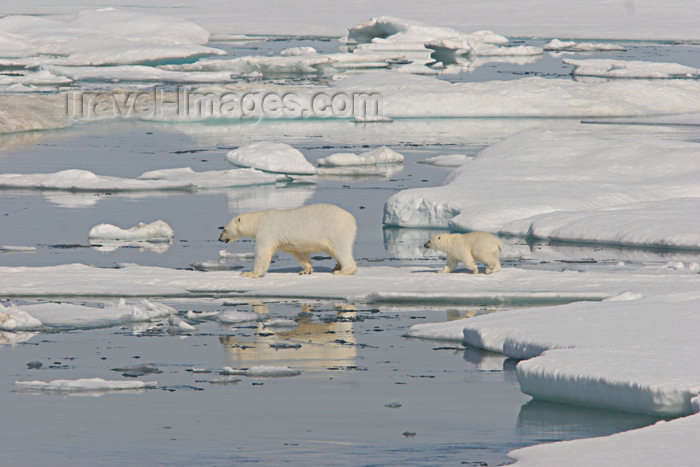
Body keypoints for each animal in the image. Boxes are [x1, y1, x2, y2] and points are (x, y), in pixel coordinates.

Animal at [219, 204, 358, 278]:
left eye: (225, 229)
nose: (219, 238)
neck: (258, 220)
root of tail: (352, 219)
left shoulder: (267, 231)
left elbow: (262, 253)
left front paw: (249, 273)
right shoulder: (291, 243)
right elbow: (299, 252)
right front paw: (306, 270)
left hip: (336, 230)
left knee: (341, 250)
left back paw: (342, 271)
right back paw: (337, 266)